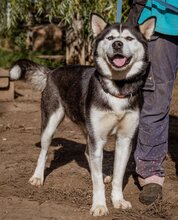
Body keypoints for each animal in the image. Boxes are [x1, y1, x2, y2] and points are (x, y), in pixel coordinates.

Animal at [9, 14, 154, 217]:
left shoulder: (124, 140)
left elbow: (118, 176)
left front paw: (118, 200)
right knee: (44, 151)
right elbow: (96, 181)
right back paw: (37, 177)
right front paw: (99, 205)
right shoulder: (97, 138)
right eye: (110, 38)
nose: (117, 44)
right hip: (51, 123)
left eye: (129, 38)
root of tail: (53, 71)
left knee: (88, 153)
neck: (117, 88)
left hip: (87, 130)